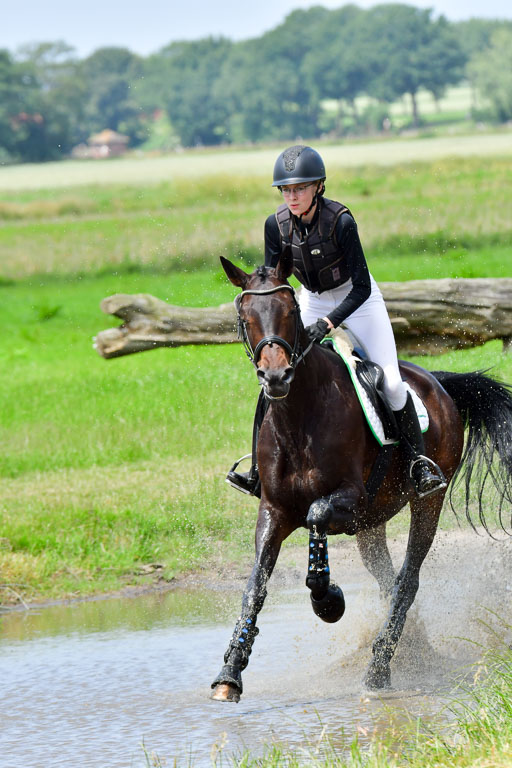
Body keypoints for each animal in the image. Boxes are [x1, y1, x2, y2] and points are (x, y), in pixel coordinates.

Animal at [211, 251, 512, 703]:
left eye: (290, 312)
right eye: (246, 317)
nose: (276, 378)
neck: (300, 416)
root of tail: (438, 383)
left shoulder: (348, 498)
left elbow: (317, 515)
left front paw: (328, 600)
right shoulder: (275, 510)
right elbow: (255, 587)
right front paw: (230, 673)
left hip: (427, 501)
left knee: (407, 580)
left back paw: (379, 667)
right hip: (371, 524)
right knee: (388, 581)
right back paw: (407, 653)